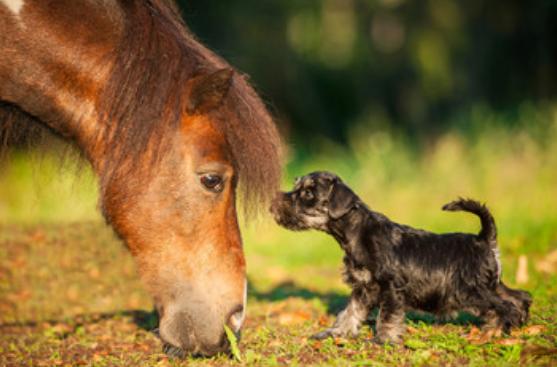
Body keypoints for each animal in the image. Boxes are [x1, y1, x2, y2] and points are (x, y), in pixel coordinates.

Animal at [270, 172, 528, 344]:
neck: (357, 232)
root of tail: (484, 239)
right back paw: (516, 324)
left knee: (504, 306)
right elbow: (350, 312)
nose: (273, 203)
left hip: (470, 291)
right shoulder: (363, 288)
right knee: (519, 297)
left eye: (308, 193)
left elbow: (386, 316)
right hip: (491, 284)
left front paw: (382, 340)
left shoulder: (390, 288)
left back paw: (494, 331)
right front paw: (335, 333)